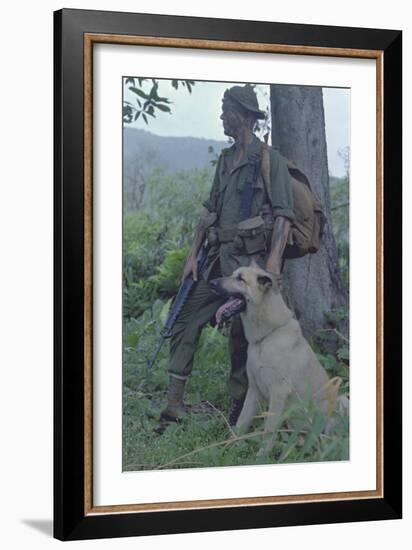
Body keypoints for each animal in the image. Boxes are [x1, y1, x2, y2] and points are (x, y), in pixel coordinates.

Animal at [211, 266, 350, 460]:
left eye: (240, 279)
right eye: (233, 275)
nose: (211, 283)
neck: (266, 337)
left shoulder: (278, 393)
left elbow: (268, 429)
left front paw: (261, 457)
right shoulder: (253, 391)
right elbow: (241, 422)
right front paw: (227, 449)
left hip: (342, 402)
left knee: (328, 440)